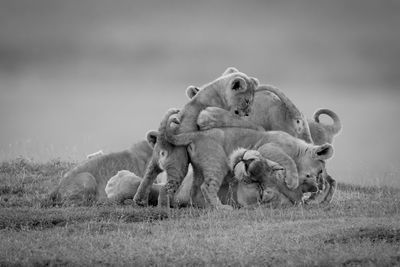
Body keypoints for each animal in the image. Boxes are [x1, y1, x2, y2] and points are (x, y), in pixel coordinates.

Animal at [134, 66, 260, 207]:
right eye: (247, 101)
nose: (248, 114)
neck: (217, 89)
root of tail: (162, 143)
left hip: (154, 163)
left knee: (146, 180)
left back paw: (139, 200)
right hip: (179, 166)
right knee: (165, 189)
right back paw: (164, 208)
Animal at [164, 110, 332, 210]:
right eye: (319, 171)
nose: (319, 186)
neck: (298, 148)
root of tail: (197, 135)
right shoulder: (268, 148)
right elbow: (288, 160)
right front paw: (292, 181)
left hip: (199, 168)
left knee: (196, 190)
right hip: (217, 162)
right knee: (207, 187)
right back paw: (222, 208)